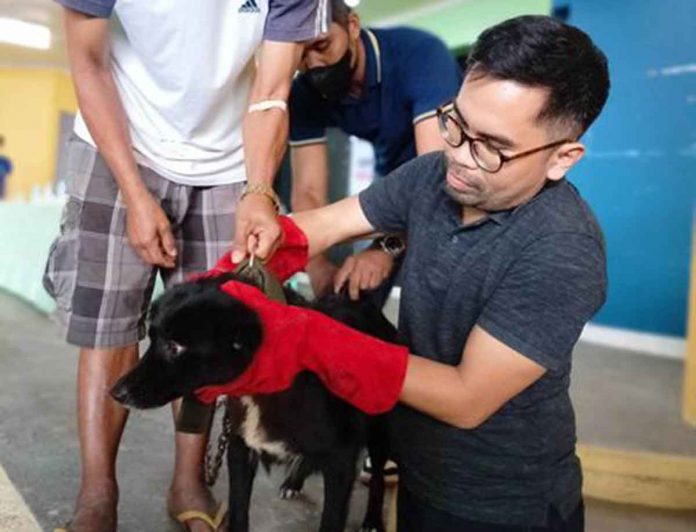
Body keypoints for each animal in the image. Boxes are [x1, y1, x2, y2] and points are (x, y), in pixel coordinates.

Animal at [114, 274, 396, 532]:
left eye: (175, 346)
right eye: (152, 337)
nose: (116, 393)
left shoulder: (341, 460)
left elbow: (331, 519)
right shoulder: (240, 447)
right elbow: (239, 510)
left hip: (381, 433)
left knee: (378, 476)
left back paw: (372, 520)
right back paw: (293, 482)